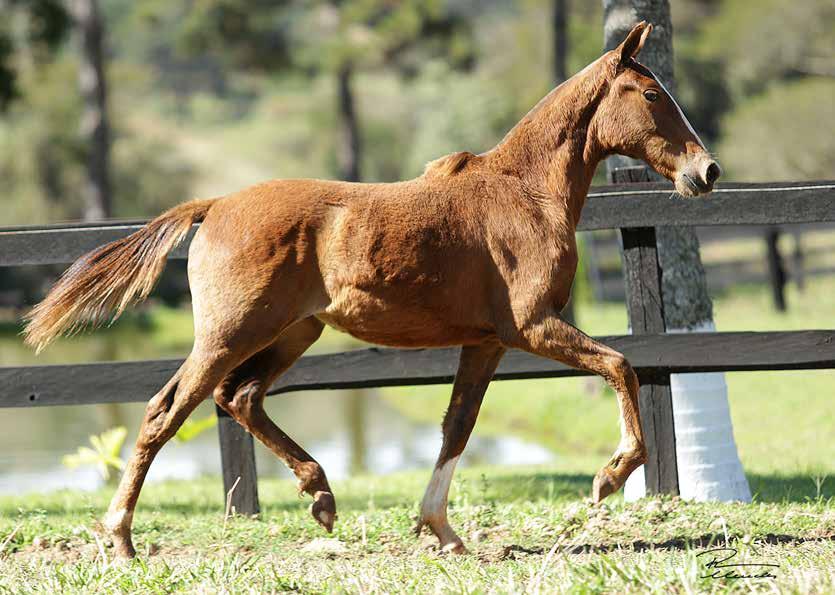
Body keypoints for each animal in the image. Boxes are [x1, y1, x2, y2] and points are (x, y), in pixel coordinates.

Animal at [26, 21, 720, 556]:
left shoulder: (487, 342)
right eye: (652, 93)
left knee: (239, 397)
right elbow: (621, 364)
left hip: (291, 332)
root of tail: (215, 204)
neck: (525, 193)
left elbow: (457, 426)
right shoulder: (532, 326)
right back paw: (121, 539)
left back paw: (321, 496)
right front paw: (609, 477)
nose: (707, 171)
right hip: (230, 333)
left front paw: (441, 531)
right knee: (165, 411)